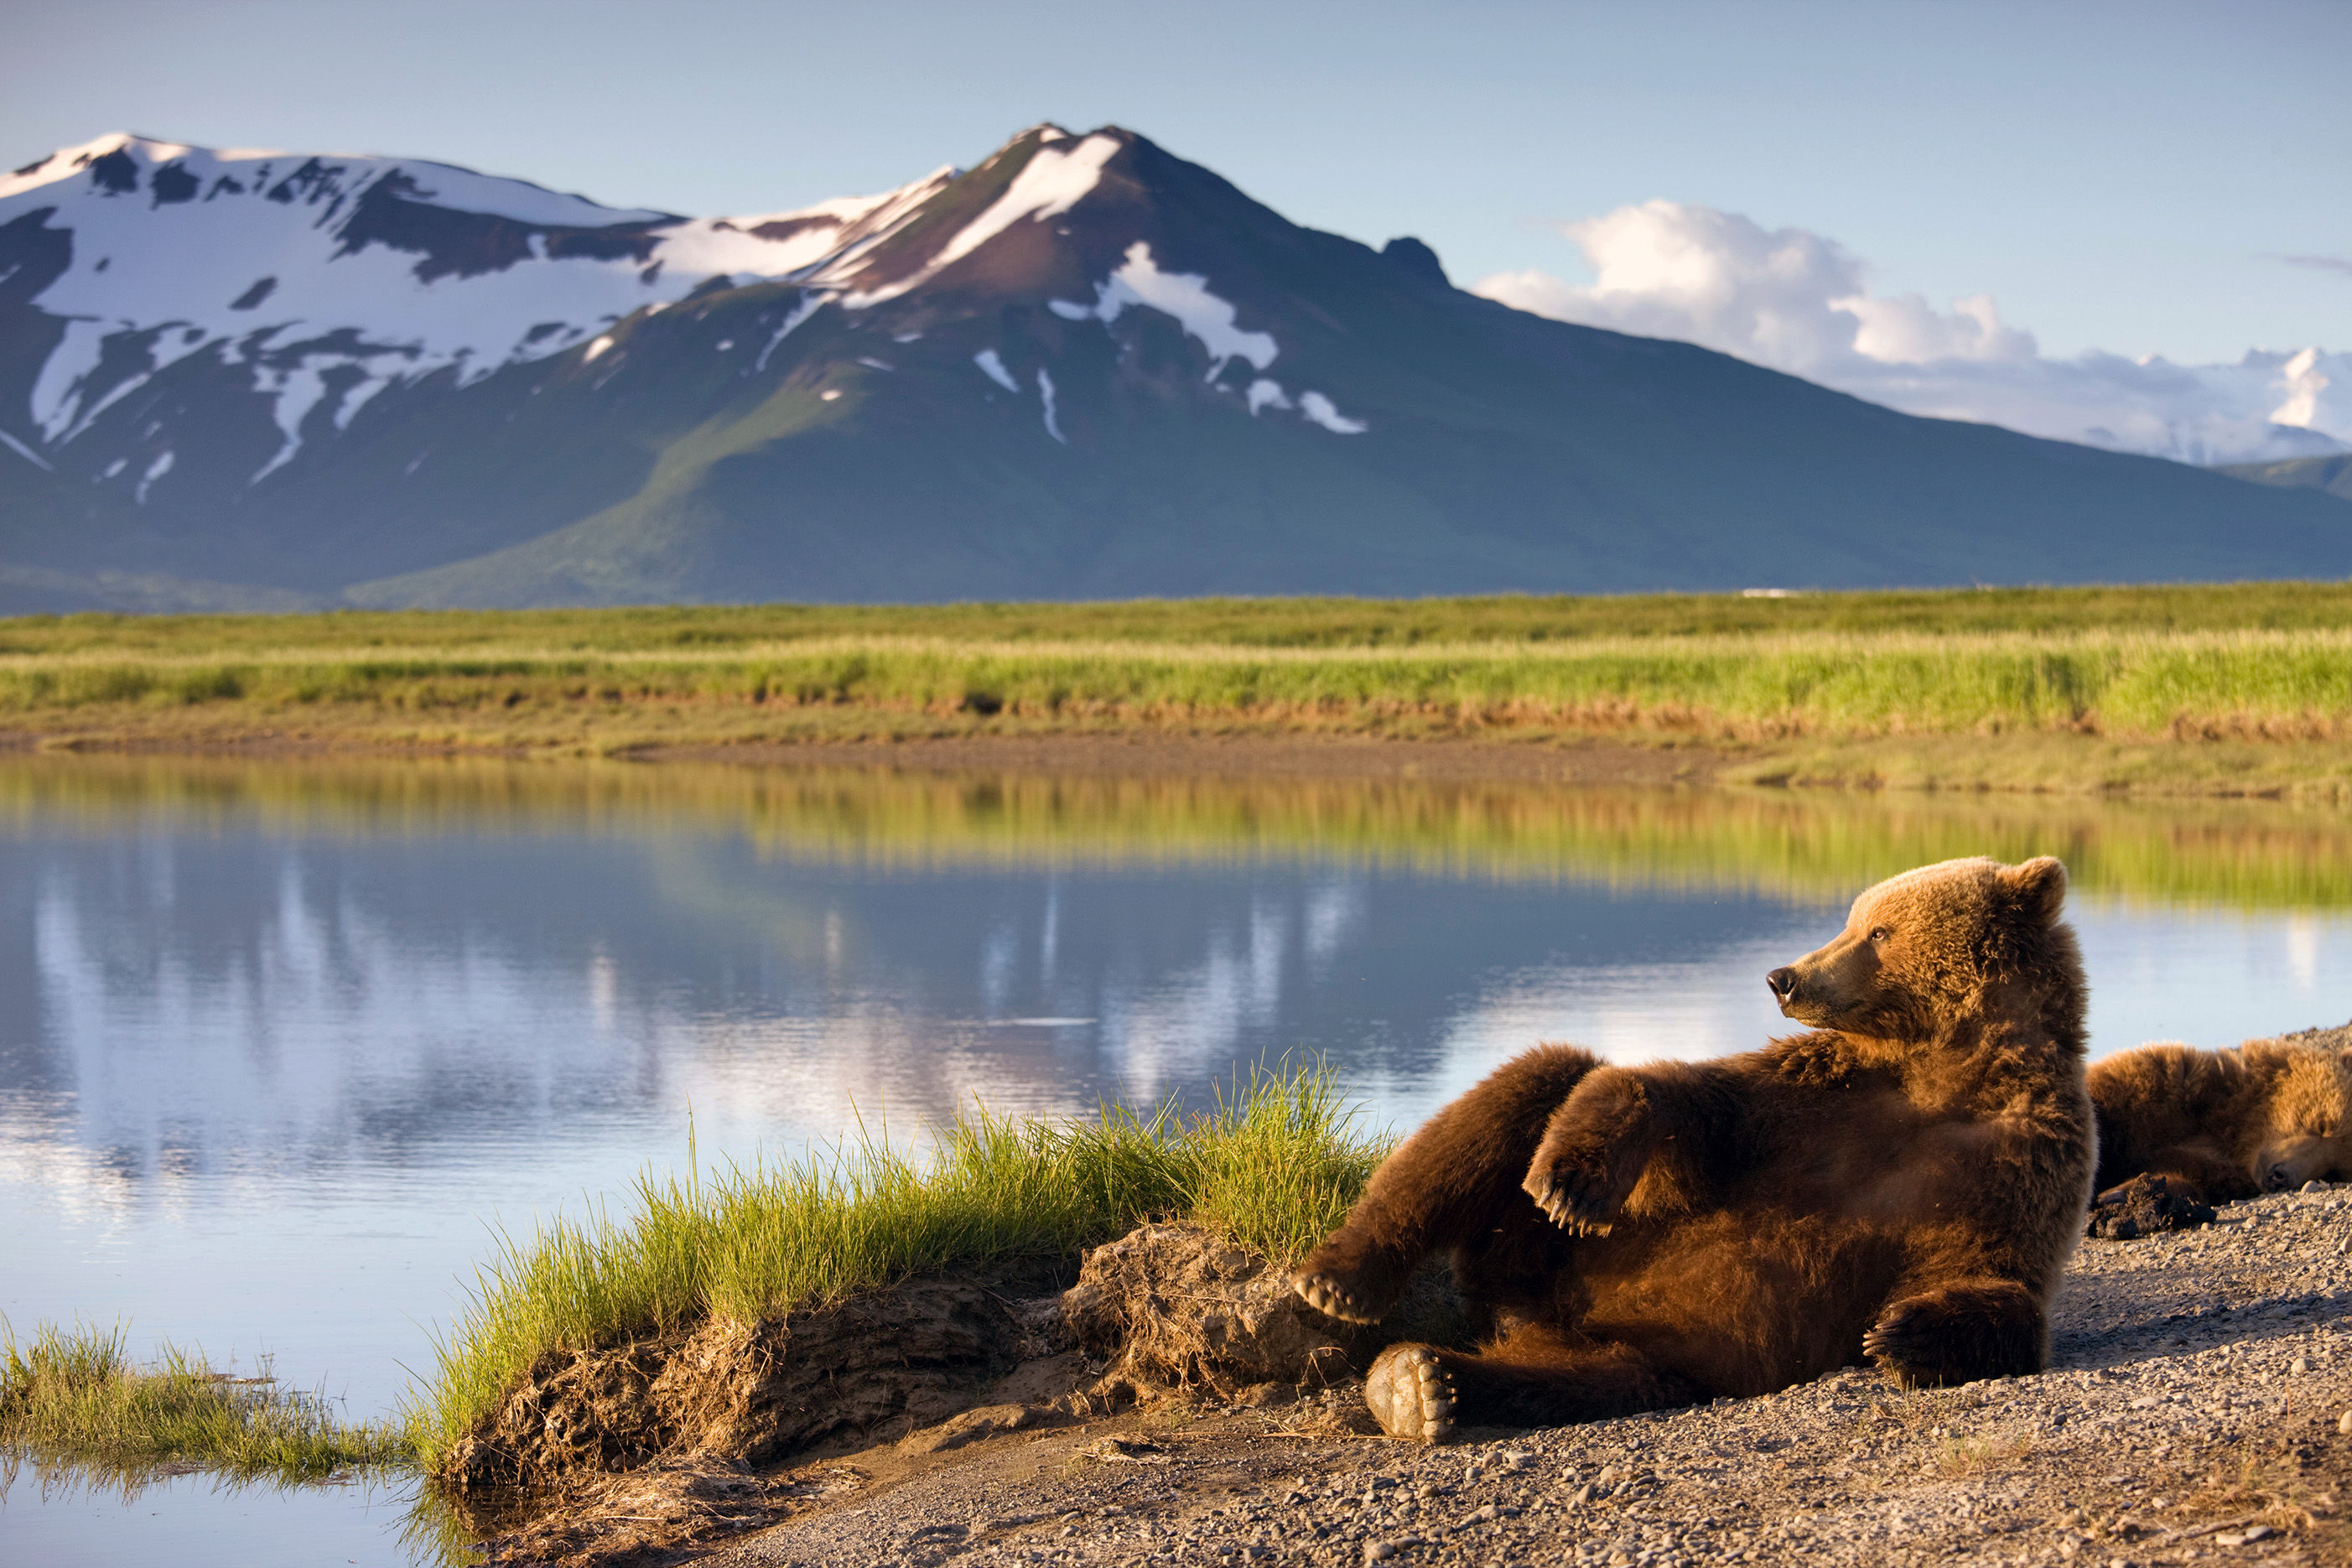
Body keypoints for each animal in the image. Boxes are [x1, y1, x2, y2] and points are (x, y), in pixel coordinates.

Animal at [1290, 855, 2094, 1442]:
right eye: (1853, 918)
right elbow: (1689, 1106)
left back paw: (1423, 1386)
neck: (1941, 1071)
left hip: (1643, 1347)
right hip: (1538, 1249)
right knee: (1533, 1081)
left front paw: (1905, 1334)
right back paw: (1340, 1282)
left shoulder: (2013, 1162)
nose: (1783, 978)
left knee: (1579, 1379)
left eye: (1877, 931)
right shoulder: (1816, 1101)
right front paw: (1572, 1184)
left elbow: (1994, 1276)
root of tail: (1526, 1314)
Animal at [2087, 1033, 2352, 1217]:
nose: (2281, 1176)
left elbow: (2188, 1180)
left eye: (2333, 1171)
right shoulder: (2158, 1089)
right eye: (2321, 1124)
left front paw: (2121, 1194)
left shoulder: (2218, 1171)